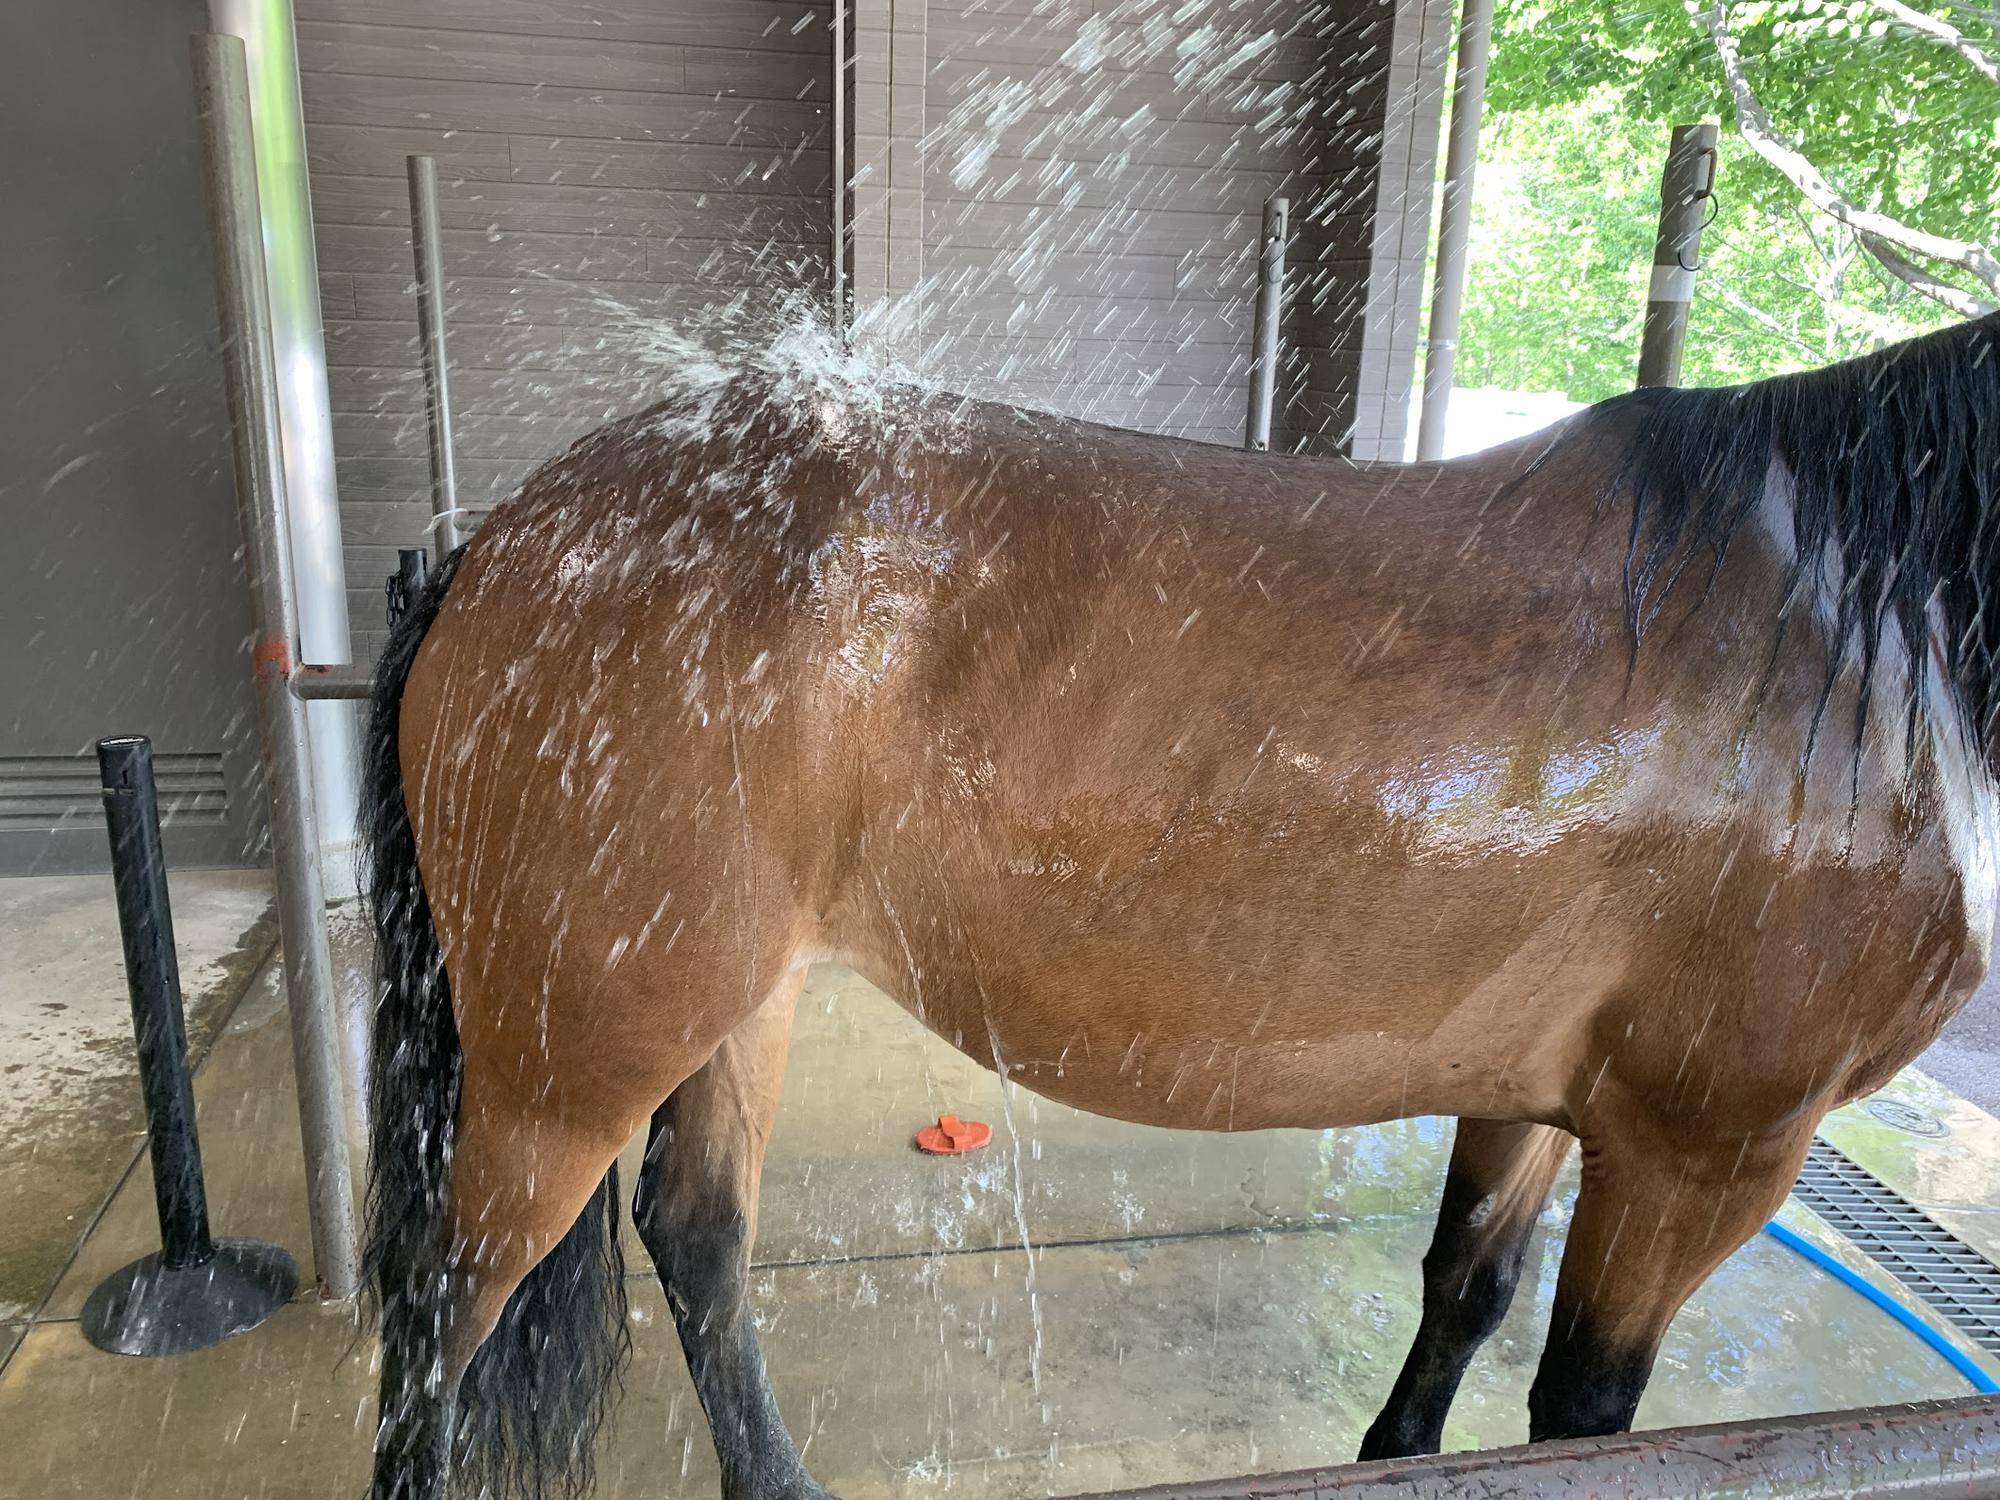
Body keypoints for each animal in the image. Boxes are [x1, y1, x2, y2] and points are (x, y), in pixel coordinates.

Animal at [364, 312, 2000, 1496]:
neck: (1859, 637)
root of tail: (504, 541)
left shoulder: (1542, 1096)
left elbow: (1464, 1295)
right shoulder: (1706, 1151)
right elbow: (1586, 1408)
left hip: (732, 1001)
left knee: (695, 1239)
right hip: (572, 1062)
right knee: (445, 1305)